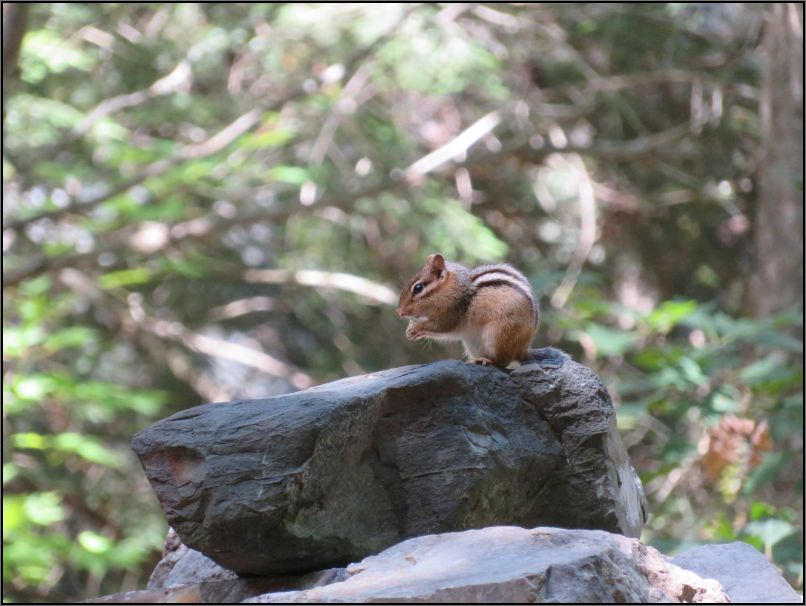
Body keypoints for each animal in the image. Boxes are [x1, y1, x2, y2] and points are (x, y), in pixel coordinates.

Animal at [396, 253, 539, 367]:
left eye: (418, 288)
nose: (400, 313)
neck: (452, 288)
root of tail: (523, 350)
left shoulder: (452, 313)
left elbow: (438, 327)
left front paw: (415, 329)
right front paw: (410, 327)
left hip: (499, 335)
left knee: (502, 362)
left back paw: (486, 360)